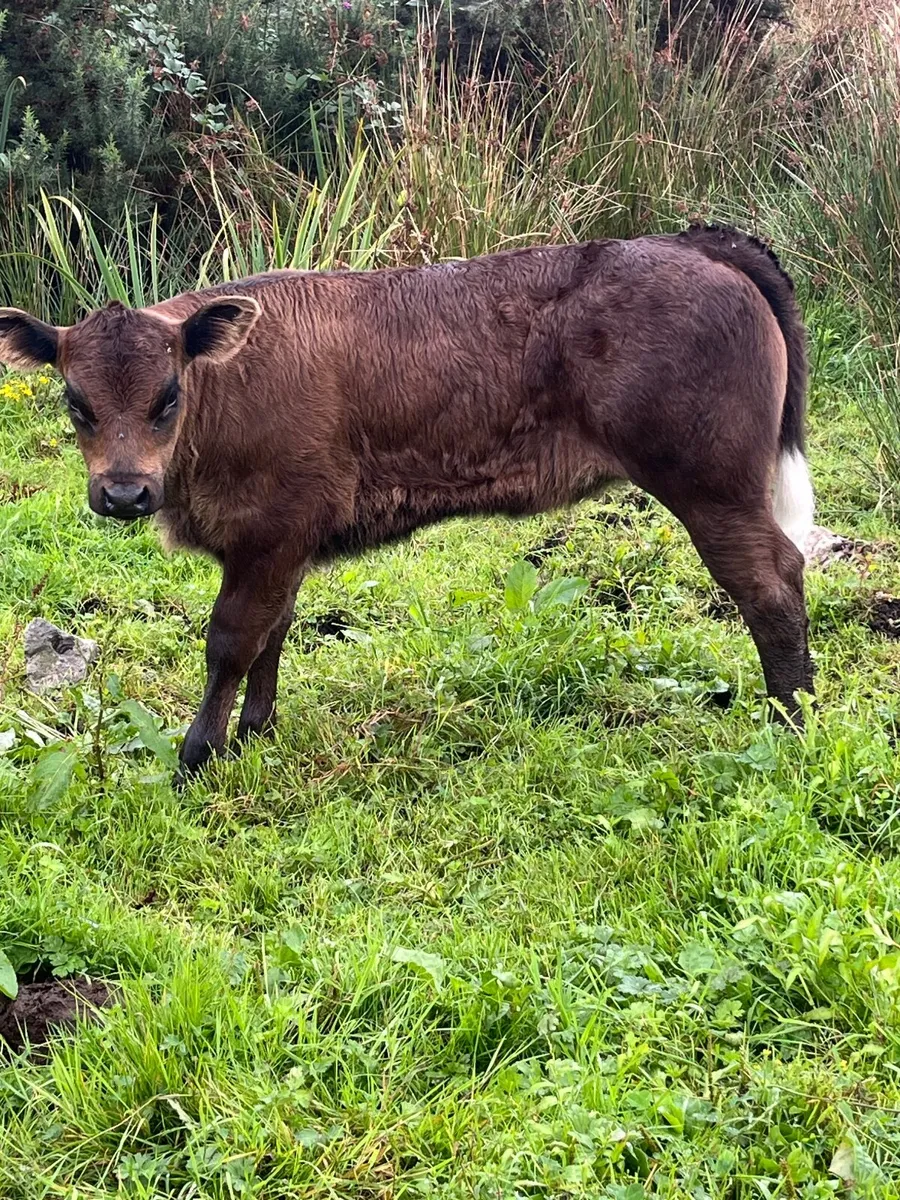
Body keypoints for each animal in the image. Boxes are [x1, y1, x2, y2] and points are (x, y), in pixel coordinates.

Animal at [0, 225, 815, 782]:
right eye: (76, 403)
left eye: (167, 398)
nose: (124, 492)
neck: (225, 395)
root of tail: (698, 242)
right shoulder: (284, 538)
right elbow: (274, 631)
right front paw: (257, 731)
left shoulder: (269, 530)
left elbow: (231, 639)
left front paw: (198, 756)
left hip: (712, 485)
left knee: (771, 583)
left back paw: (793, 722)